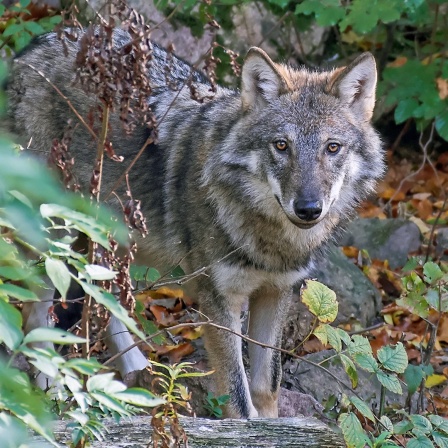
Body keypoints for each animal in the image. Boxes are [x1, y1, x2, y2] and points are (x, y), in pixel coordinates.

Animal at [7, 28, 384, 418]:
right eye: (281, 146)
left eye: (332, 148)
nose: (309, 208)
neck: (269, 240)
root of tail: (36, 45)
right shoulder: (218, 301)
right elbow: (237, 396)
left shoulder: (276, 292)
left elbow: (267, 387)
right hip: (55, 236)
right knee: (35, 314)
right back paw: (51, 388)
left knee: (102, 304)